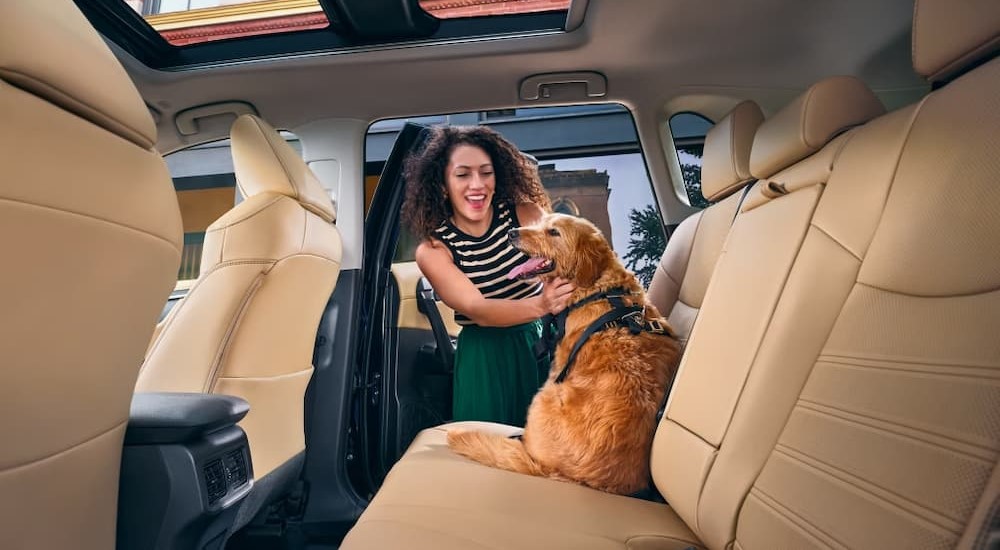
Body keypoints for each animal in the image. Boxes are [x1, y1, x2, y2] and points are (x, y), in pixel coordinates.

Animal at [450, 215, 684, 496]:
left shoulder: (558, 365)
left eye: (554, 232)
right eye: (540, 222)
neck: (598, 289)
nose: (512, 232)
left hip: (543, 397)